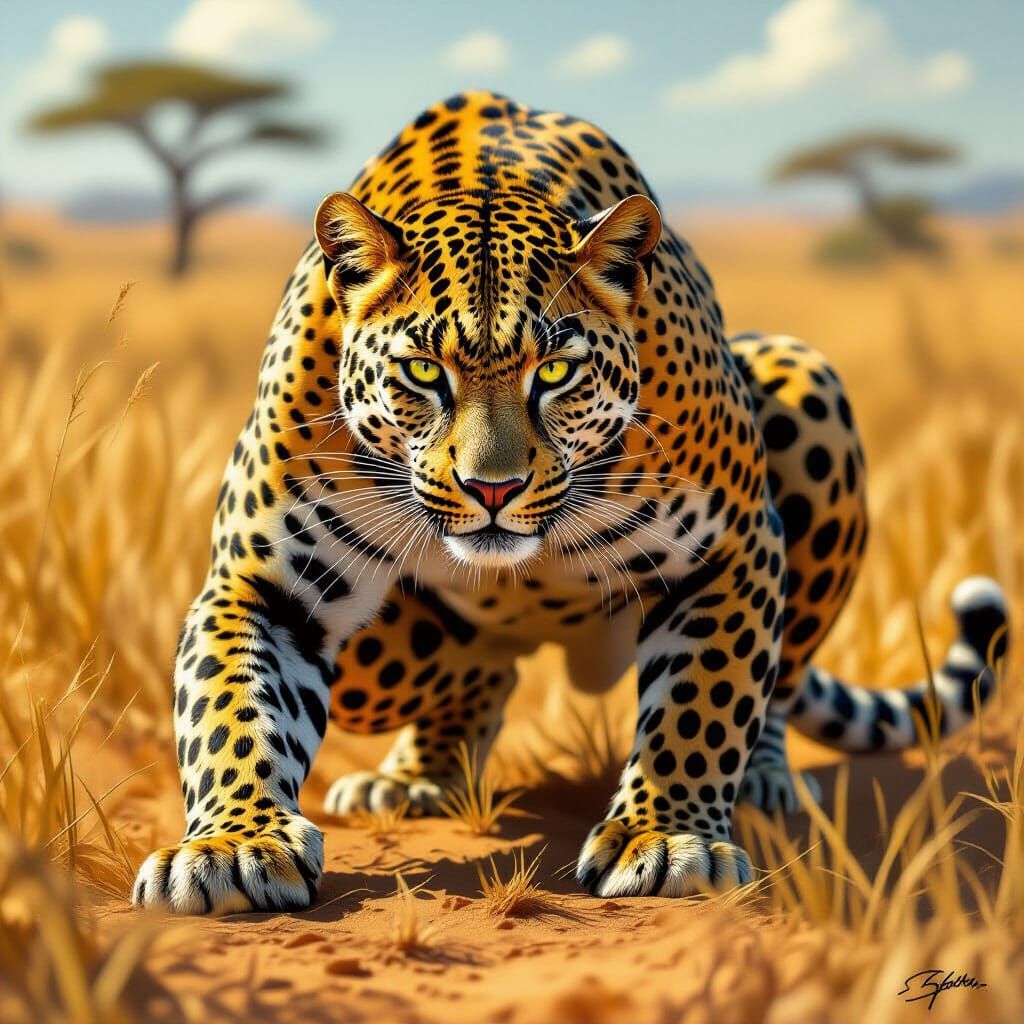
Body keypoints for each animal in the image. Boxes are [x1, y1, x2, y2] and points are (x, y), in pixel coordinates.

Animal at [133, 91, 1008, 913]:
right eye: (423, 371)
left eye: (555, 372)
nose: (492, 488)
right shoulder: (263, 584)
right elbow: (232, 709)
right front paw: (231, 845)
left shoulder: (736, 546)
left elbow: (706, 700)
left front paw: (668, 837)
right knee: (453, 673)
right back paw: (416, 776)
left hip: (801, 374)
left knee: (778, 676)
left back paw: (764, 780)